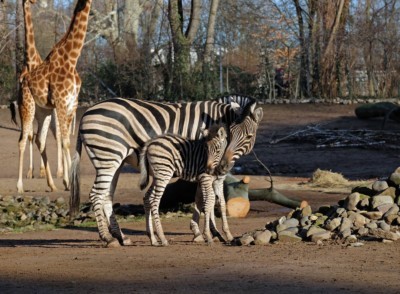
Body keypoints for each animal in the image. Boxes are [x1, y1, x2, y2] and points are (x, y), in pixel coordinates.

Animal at [17, 0, 91, 193]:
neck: (71, 59)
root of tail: (22, 82)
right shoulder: (61, 102)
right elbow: (64, 141)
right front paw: (69, 182)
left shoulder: (72, 103)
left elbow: (67, 141)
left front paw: (67, 181)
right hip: (27, 106)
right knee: (23, 139)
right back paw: (20, 186)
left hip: (44, 112)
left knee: (39, 139)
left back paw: (51, 184)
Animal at [69, 95, 262, 247]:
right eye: (231, 134)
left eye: (248, 136)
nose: (223, 166)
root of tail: (86, 112)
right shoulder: (204, 168)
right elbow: (207, 200)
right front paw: (207, 233)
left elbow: (211, 200)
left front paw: (213, 232)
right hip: (108, 156)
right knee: (96, 194)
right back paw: (108, 238)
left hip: (114, 160)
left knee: (106, 195)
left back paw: (121, 237)